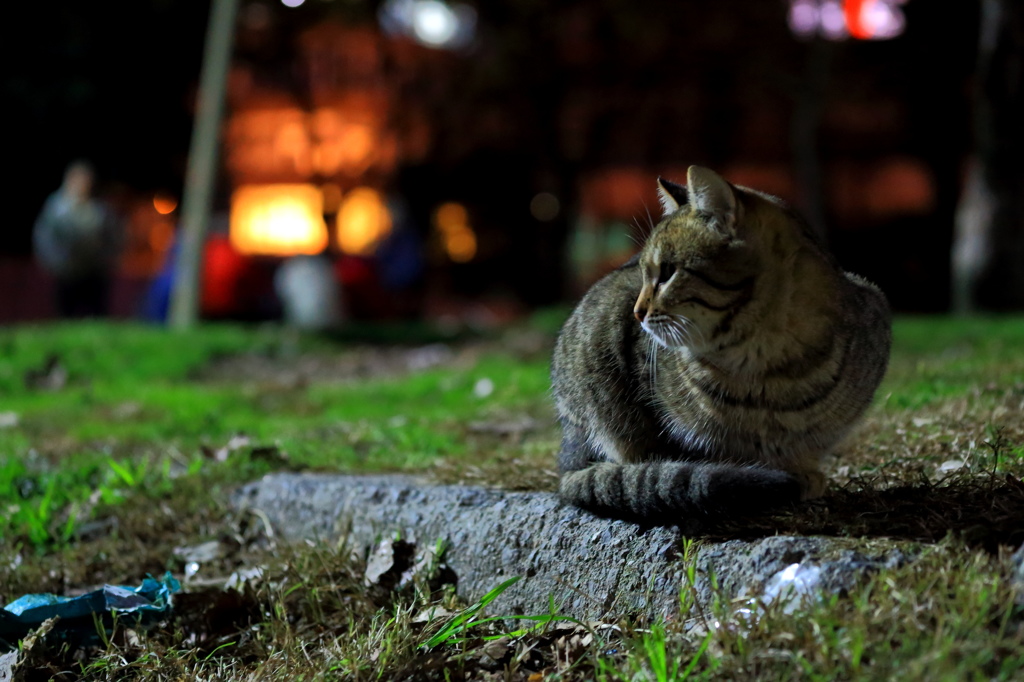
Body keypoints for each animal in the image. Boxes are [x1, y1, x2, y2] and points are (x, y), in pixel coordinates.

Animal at [548, 165, 892, 524]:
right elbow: (671, 456)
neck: (764, 361)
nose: (637, 312)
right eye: (643, 273)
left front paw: (802, 471)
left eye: (667, 272)